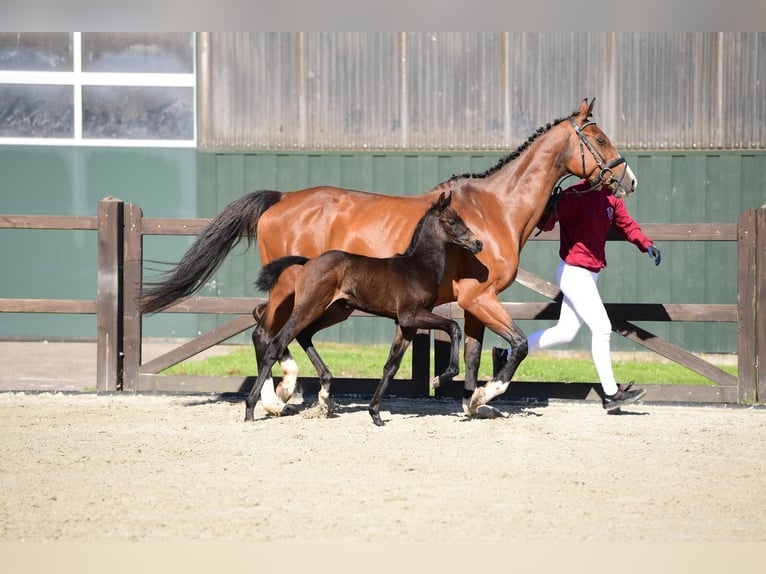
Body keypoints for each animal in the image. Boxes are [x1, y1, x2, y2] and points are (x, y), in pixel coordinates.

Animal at [249, 191, 483, 425]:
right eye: (451, 221)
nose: (478, 243)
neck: (419, 267)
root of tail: (308, 262)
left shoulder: (406, 325)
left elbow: (391, 366)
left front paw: (375, 413)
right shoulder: (411, 315)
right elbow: (454, 327)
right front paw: (441, 378)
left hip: (335, 311)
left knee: (304, 334)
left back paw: (325, 387)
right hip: (309, 306)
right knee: (277, 342)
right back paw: (252, 408)